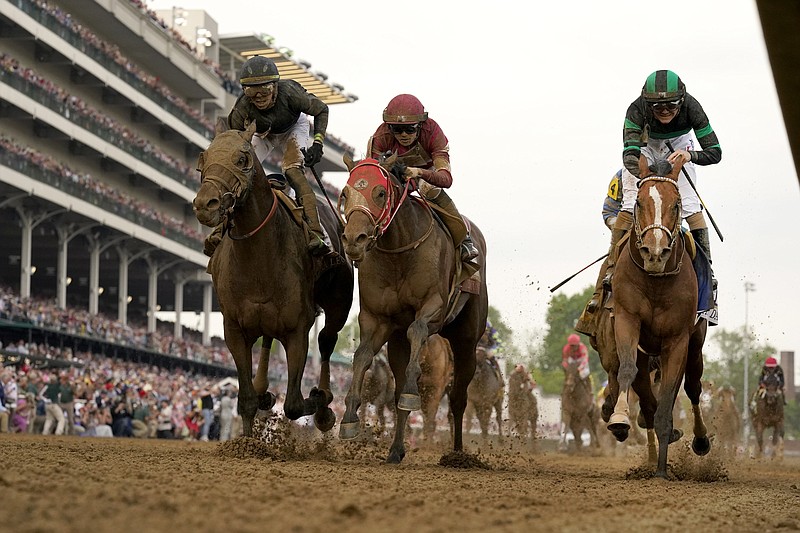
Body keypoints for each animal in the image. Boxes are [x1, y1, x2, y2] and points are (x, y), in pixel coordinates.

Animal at [191, 120, 354, 436]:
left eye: (242, 159)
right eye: (203, 158)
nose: (206, 204)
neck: (257, 257)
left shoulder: (298, 328)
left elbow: (293, 404)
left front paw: (320, 401)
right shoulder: (234, 329)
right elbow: (246, 400)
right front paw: (247, 436)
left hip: (339, 303)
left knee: (327, 340)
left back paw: (324, 404)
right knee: (268, 340)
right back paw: (264, 388)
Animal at [338, 157, 488, 462]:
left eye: (380, 193)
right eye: (345, 193)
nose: (354, 240)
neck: (398, 252)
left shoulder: (434, 307)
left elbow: (417, 329)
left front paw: (411, 389)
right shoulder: (376, 319)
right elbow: (362, 356)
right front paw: (349, 417)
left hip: (467, 340)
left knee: (458, 399)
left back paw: (457, 454)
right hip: (398, 342)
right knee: (398, 394)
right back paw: (396, 449)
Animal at [600, 156, 708, 476]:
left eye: (676, 205)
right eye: (638, 202)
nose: (655, 252)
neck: (656, 280)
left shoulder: (678, 340)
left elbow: (672, 392)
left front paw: (661, 470)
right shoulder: (627, 319)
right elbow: (626, 370)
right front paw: (620, 418)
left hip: (696, 344)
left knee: (693, 388)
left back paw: (700, 440)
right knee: (647, 393)